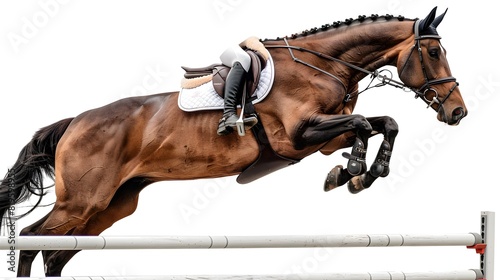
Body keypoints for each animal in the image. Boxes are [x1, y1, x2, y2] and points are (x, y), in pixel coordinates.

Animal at [1, 6, 466, 276]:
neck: (324, 66)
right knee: (31, 238)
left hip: (111, 206)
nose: (458, 112)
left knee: (56, 253)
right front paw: (350, 173)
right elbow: (365, 125)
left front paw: (358, 175)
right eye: (433, 53)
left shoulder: (323, 137)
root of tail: (75, 122)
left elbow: (384, 123)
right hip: (82, 202)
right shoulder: (298, 136)